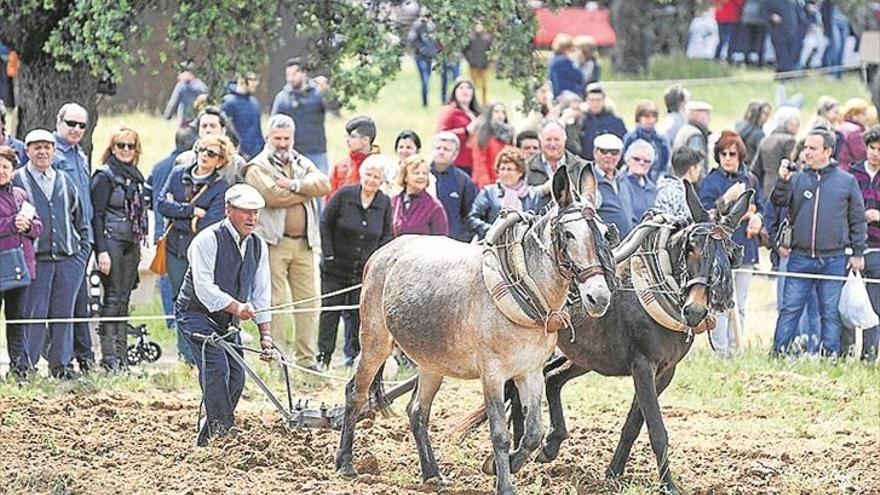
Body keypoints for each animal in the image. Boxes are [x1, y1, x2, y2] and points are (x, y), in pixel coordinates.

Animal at [336, 166, 620, 495]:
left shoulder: (530, 372)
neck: (524, 293)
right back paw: (345, 464)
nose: (599, 297)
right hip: (375, 342)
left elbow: (533, 433)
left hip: (432, 362)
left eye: (605, 233)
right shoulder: (493, 374)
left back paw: (433, 474)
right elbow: (499, 433)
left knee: (417, 411)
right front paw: (504, 483)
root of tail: (383, 252)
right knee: (355, 393)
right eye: (569, 234)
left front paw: (501, 466)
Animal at [468, 183, 748, 495]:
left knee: (551, 381)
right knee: (524, 391)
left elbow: (634, 423)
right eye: (691, 247)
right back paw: (515, 455)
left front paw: (614, 472)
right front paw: (669, 485)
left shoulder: (665, 372)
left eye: (731, 254)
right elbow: (656, 428)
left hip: (586, 357)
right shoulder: (643, 365)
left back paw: (545, 446)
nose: (696, 309)